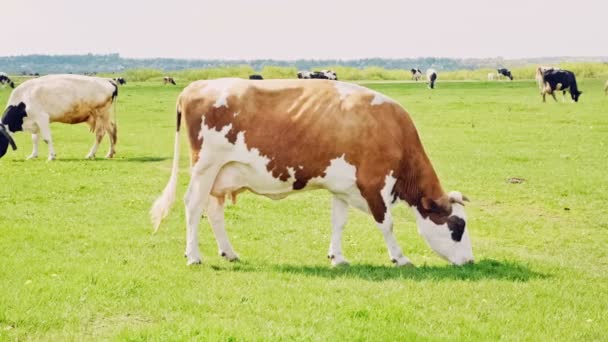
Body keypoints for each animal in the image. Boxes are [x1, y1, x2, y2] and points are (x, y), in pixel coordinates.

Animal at [150, 78, 472, 268]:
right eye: (457, 228)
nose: (470, 261)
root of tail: (195, 86)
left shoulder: (343, 187)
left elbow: (339, 222)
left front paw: (337, 257)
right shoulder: (373, 184)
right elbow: (387, 224)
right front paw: (400, 258)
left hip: (221, 175)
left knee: (213, 212)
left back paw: (229, 252)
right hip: (205, 167)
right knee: (193, 206)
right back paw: (193, 255)